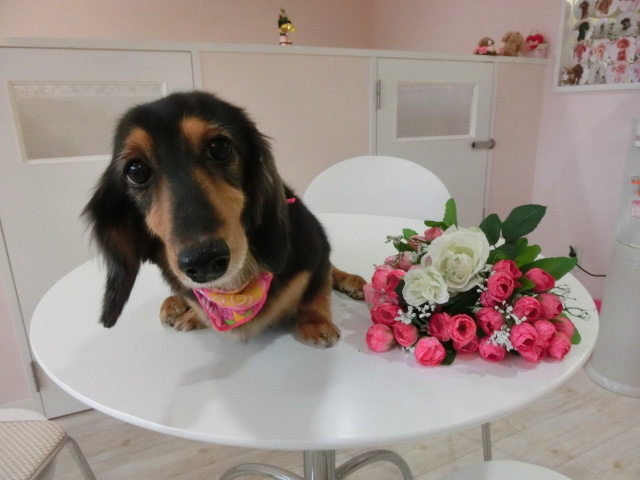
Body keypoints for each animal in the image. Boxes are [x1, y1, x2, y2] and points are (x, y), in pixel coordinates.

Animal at [83, 91, 365, 347]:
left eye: (220, 147)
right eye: (136, 170)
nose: (203, 260)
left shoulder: (316, 253)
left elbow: (314, 291)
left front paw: (315, 322)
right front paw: (194, 314)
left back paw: (352, 282)